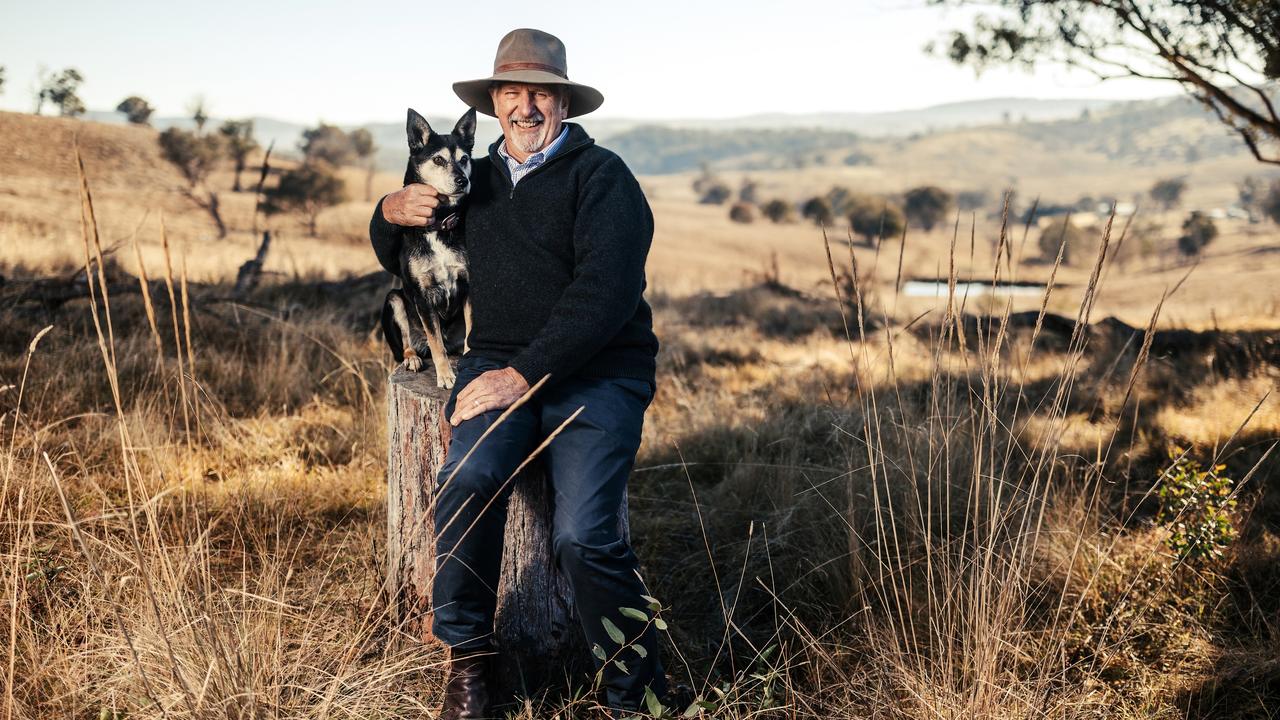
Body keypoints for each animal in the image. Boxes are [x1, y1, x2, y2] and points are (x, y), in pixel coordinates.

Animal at [384, 106, 481, 386]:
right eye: (438, 160)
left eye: (464, 159)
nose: (463, 181)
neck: (439, 223)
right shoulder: (423, 297)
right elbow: (436, 341)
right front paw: (446, 375)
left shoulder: (468, 285)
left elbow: (471, 332)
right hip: (394, 300)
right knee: (410, 343)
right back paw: (413, 358)